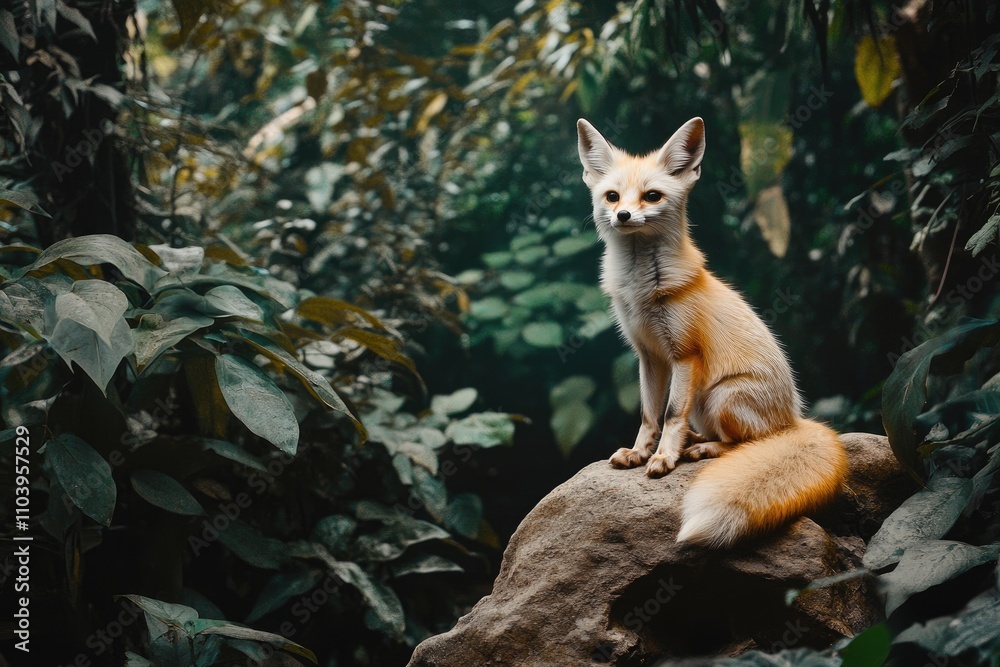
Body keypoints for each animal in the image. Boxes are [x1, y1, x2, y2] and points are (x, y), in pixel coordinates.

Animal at [576, 117, 848, 548]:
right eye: (613, 196)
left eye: (651, 196)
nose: (623, 215)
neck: (642, 290)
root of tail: (794, 419)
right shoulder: (649, 357)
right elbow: (649, 415)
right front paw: (640, 453)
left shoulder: (684, 355)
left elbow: (670, 415)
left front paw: (663, 458)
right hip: (704, 403)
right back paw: (696, 442)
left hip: (721, 397)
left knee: (746, 443)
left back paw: (702, 450)